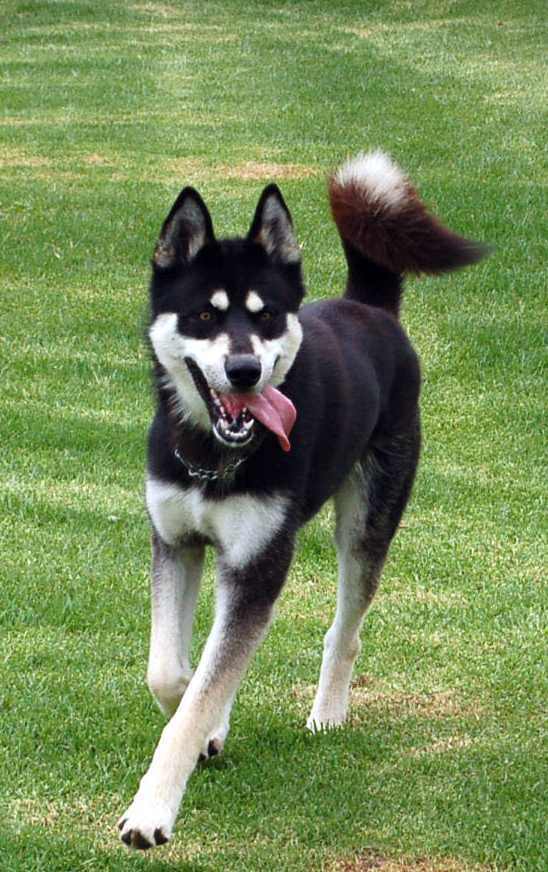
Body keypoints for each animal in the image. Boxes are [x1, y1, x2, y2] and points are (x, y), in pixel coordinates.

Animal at [118, 151, 487, 849]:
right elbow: (172, 674)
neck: (217, 455)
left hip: (368, 521)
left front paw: (153, 809)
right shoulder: (178, 543)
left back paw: (328, 711)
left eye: (265, 317)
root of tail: (371, 306)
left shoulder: (256, 565)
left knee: (346, 629)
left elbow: (197, 694)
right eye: (203, 316)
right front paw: (209, 729)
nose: (244, 372)